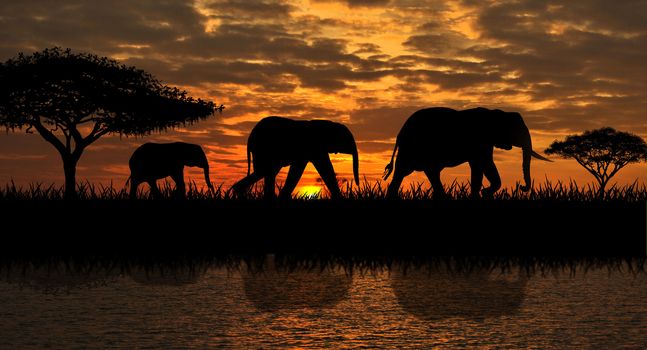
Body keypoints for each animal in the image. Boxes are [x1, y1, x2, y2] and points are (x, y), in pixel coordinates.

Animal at [233, 116, 362, 200]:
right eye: (347, 139)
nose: (357, 184)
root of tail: (249, 139)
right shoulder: (313, 147)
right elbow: (305, 169)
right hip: (263, 149)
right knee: (265, 171)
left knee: (267, 172)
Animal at [384, 106, 552, 198]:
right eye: (516, 131)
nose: (522, 187)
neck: (497, 113)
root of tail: (400, 132)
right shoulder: (481, 140)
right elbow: (486, 164)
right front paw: (485, 193)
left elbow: (478, 168)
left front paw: (480, 194)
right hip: (412, 148)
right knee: (409, 171)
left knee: (421, 173)